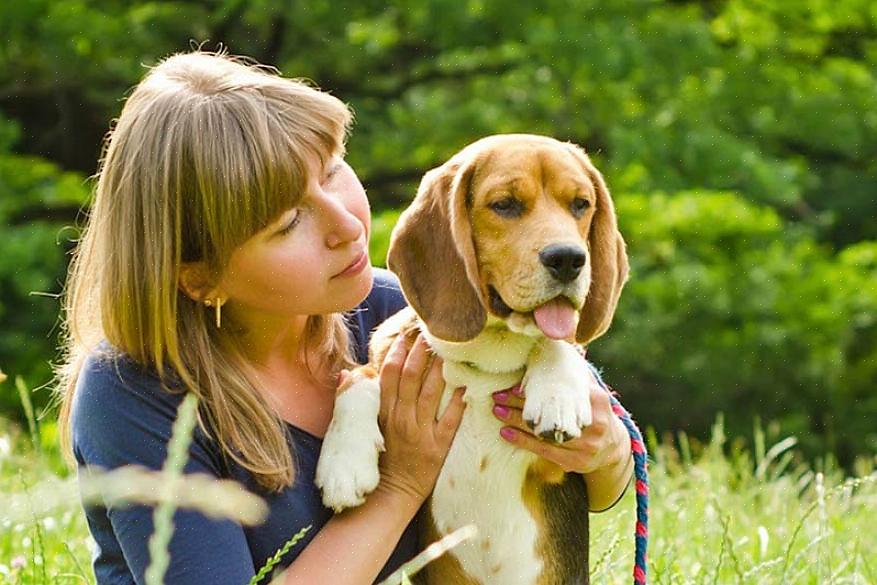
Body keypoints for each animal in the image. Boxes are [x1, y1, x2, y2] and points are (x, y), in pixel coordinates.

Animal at [318, 135, 628, 580]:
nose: (569, 259)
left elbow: (560, 343)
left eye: (580, 204)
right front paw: (344, 465)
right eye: (505, 204)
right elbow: (357, 377)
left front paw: (557, 396)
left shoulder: (555, 469)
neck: (485, 363)